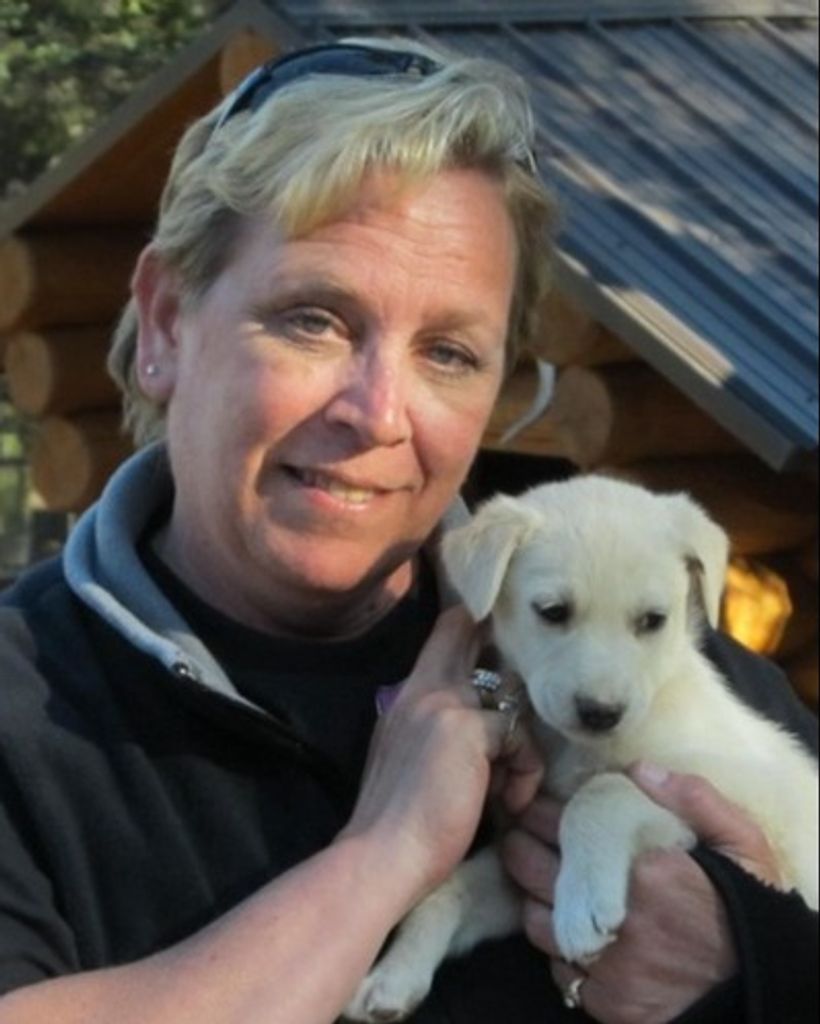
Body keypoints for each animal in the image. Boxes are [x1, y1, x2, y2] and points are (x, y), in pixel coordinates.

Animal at [345, 476, 819, 1022]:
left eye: (653, 620)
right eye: (553, 612)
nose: (600, 712)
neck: (579, 749)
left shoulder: (745, 799)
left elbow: (604, 792)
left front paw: (584, 908)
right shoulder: (523, 859)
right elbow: (448, 890)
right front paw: (392, 976)